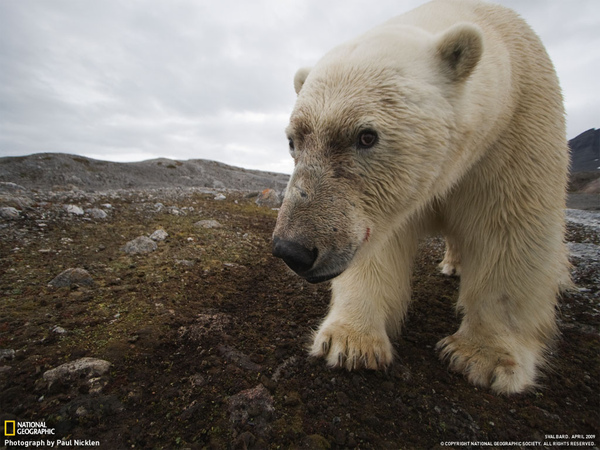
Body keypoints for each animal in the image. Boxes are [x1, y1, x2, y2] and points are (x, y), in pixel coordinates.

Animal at [274, 0, 568, 394]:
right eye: (294, 140)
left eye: (366, 136)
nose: (292, 249)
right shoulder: (388, 202)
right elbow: (381, 245)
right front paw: (350, 342)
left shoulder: (515, 133)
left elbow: (510, 230)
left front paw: (483, 357)